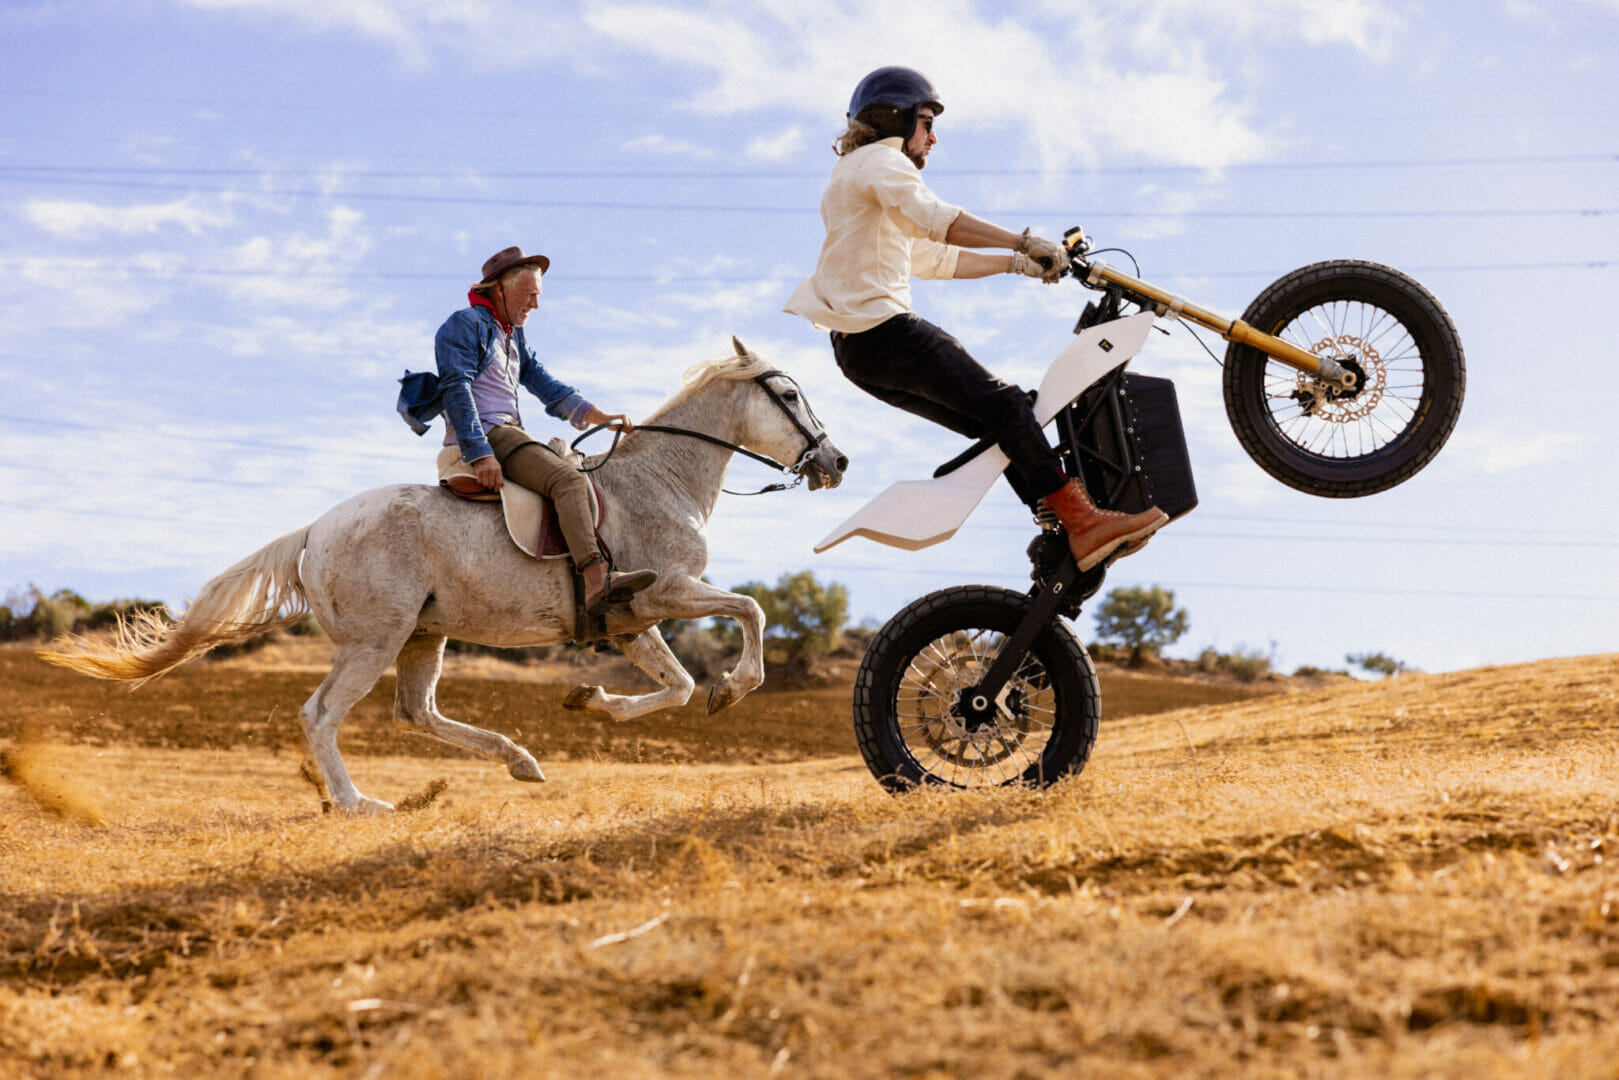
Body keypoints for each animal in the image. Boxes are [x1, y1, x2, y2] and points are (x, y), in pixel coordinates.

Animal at [41, 344, 848, 809]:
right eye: (787, 394)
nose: (835, 462)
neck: (660, 480)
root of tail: (315, 530)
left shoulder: (633, 621)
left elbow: (676, 685)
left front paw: (591, 700)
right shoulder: (664, 593)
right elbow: (750, 612)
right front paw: (733, 688)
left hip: (423, 637)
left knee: (416, 713)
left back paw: (520, 762)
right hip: (376, 639)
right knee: (320, 715)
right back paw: (357, 803)